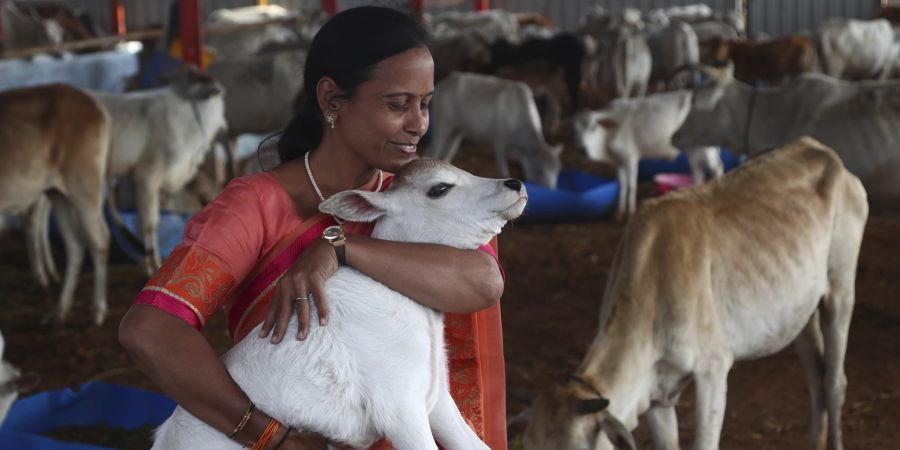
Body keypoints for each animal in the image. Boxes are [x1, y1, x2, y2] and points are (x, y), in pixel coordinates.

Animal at [0, 83, 110, 324]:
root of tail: (94, 105)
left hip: (84, 187)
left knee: (99, 240)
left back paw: (98, 311)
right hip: (58, 194)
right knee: (75, 246)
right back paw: (60, 310)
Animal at [424, 72, 564, 188]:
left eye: (557, 170)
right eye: (540, 170)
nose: (551, 190)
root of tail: (443, 83)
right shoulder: (500, 141)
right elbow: (503, 169)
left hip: (456, 131)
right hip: (442, 125)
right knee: (433, 149)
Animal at [524, 137, 868, 450]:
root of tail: (819, 149)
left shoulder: (713, 371)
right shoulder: (658, 396)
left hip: (840, 290)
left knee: (835, 382)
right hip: (800, 314)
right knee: (817, 380)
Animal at [572, 89, 692, 219]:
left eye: (593, 127)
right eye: (573, 130)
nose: (582, 150)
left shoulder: (630, 157)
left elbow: (632, 185)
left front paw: (631, 212)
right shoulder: (618, 161)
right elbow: (623, 185)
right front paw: (620, 212)